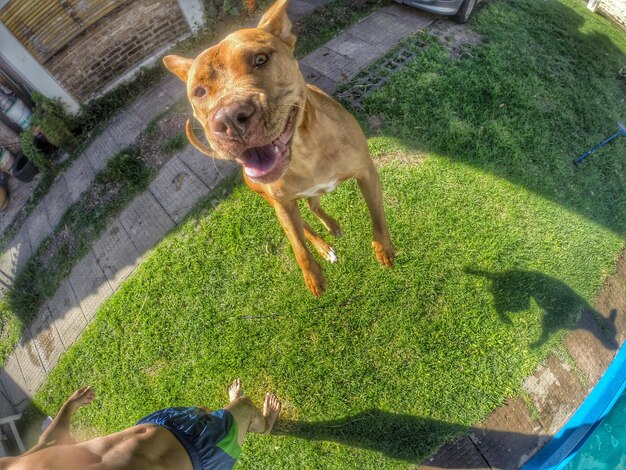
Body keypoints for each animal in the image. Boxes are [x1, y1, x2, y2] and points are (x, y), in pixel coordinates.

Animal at [163, 0, 392, 296]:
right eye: (200, 92)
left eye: (260, 59)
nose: (228, 119)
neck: (305, 152)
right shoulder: (282, 205)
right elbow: (297, 246)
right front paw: (312, 276)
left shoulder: (366, 172)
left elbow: (377, 215)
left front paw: (384, 249)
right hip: (276, 203)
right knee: (301, 224)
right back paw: (323, 246)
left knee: (313, 205)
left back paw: (331, 225)